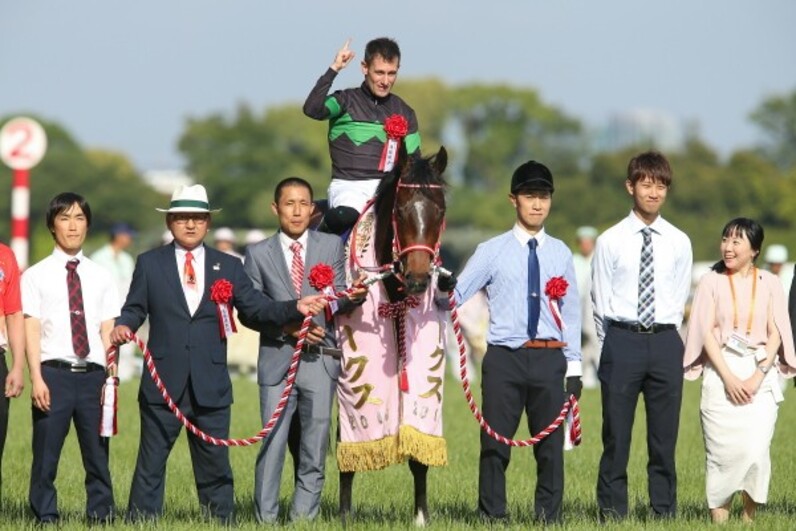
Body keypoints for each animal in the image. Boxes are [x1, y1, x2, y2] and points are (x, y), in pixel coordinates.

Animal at [337, 146, 448, 525]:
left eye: (440, 210)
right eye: (401, 210)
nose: (418, 278)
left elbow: (418, 442)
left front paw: (421, 516)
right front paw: (345, 514)